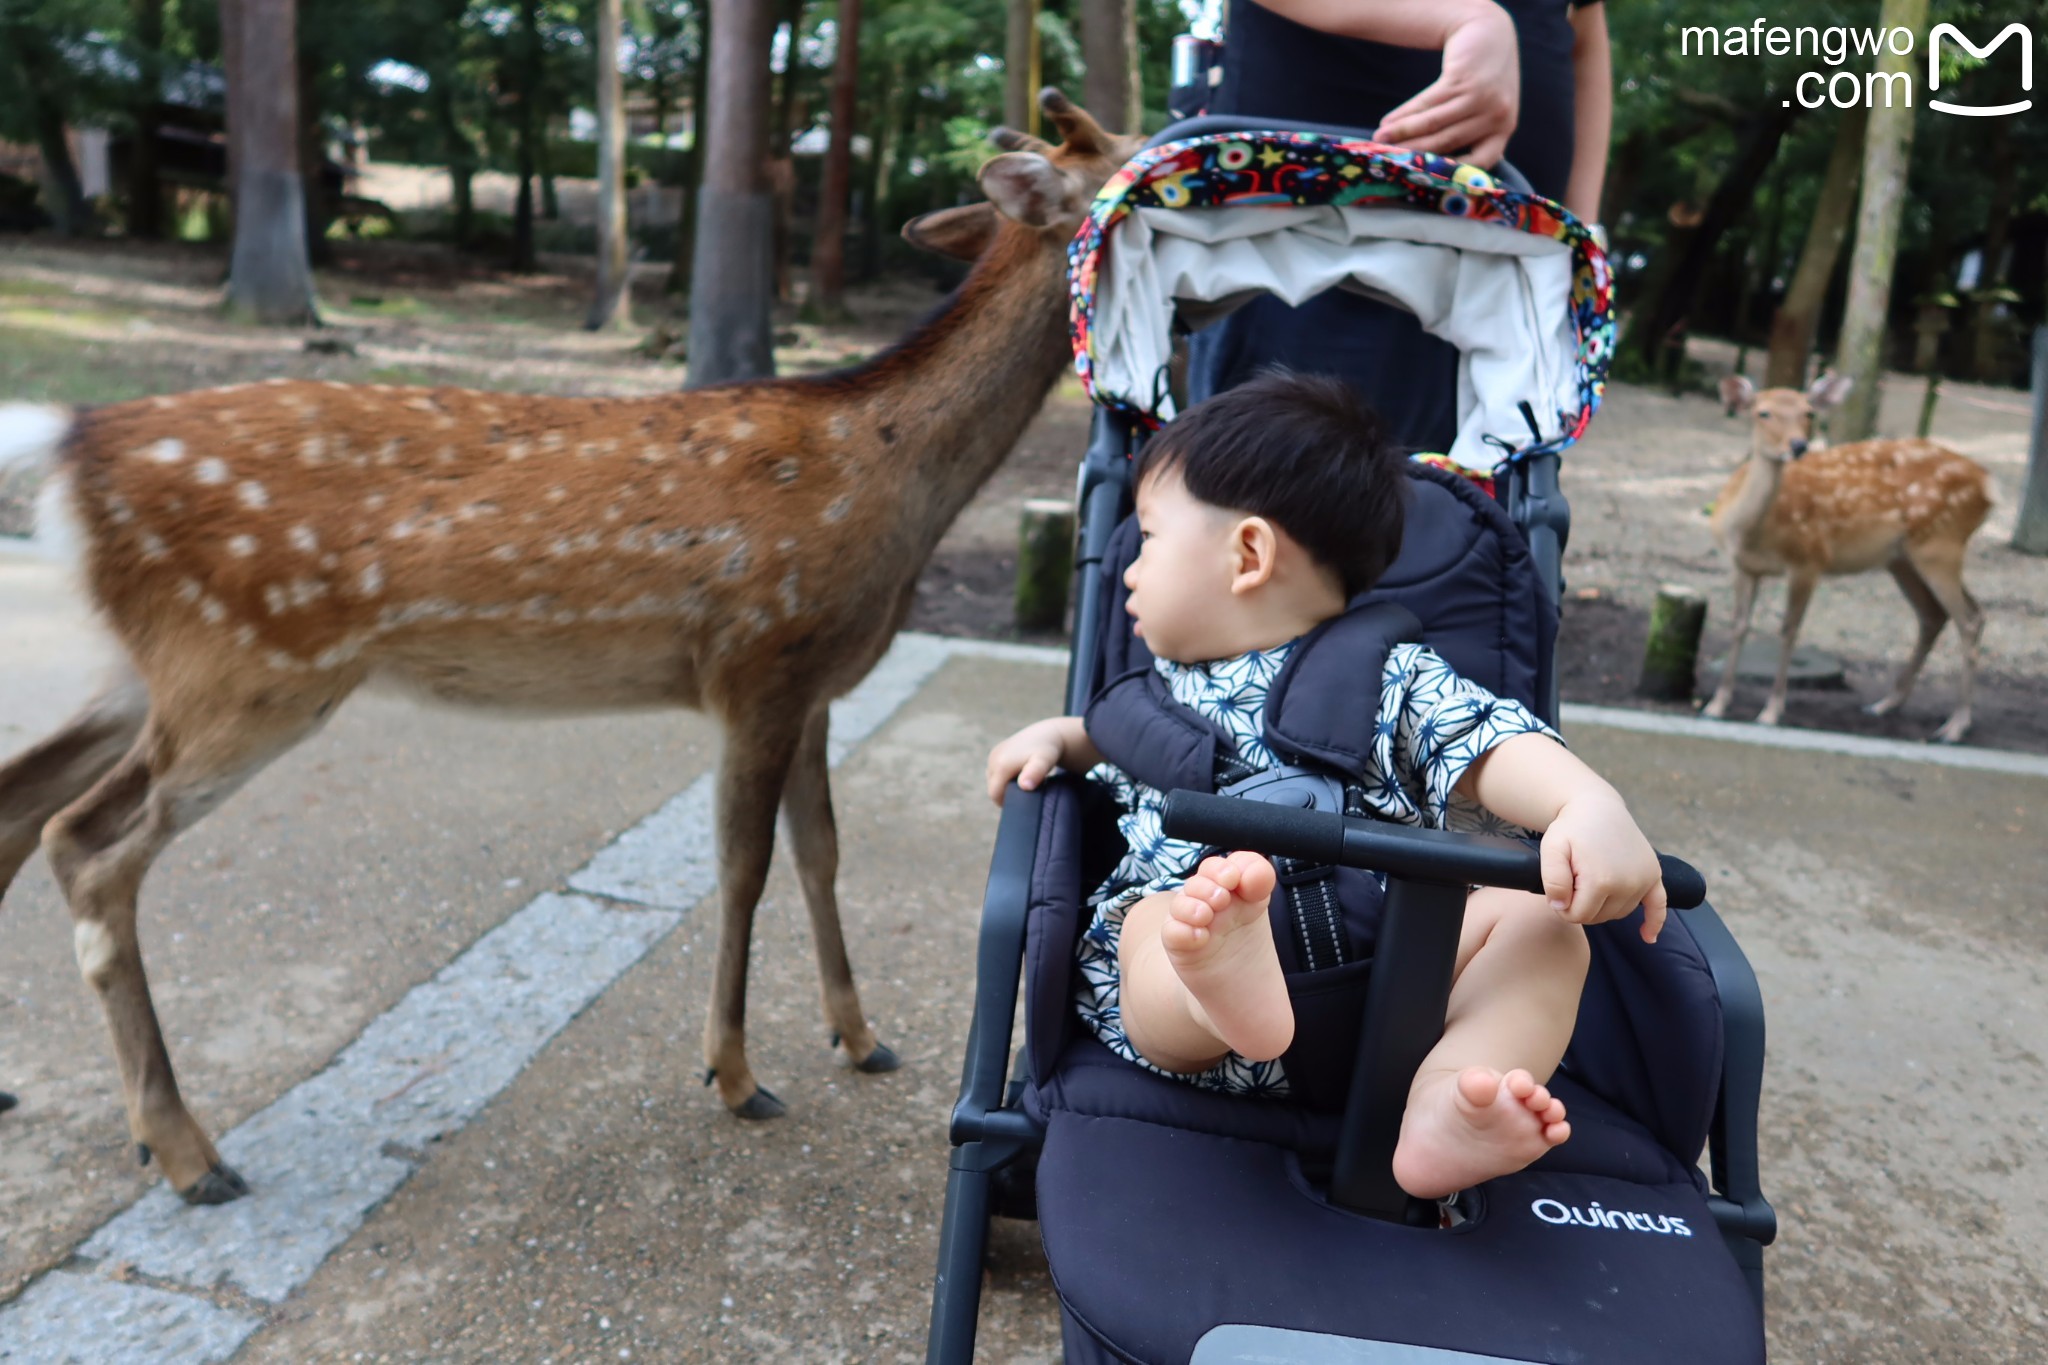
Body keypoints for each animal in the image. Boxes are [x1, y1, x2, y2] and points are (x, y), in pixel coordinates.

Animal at [0, 93, 1146, 1203]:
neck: (895, 482)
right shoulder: (757, 659)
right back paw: (186, 1151)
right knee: (85, 847)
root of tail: (70, 451)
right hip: (249, 667)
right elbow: (742, 866)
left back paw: (37, 1099)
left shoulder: (819, 678)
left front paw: (860, 1037)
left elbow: (822, 851)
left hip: (150, 669)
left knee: (22, 799)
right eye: (1145, 165)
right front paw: (737, 1074)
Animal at [1703, 376, 1990, 749]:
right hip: (1903, 559)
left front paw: (1772, 711)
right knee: (1937, 615)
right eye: (1762, 412)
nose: (1798, 445)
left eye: (1808, 412)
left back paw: (1955, 727)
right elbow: (1738, 626)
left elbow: (1789, 630)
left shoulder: (1809, 559)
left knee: (1968, 620)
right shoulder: (1742, 566)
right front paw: (1717, 704)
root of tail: (1988, 486)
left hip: (1941, 544)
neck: (1752, 533)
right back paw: (1886, 704)